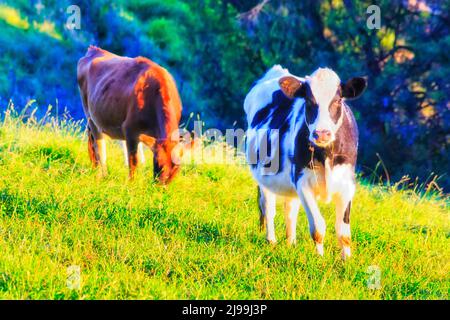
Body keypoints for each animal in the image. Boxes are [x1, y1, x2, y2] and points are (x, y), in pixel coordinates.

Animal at [77, 46, 181, 184]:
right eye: (159, 165)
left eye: (175, 170)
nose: (159, 187)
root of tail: (94, 49)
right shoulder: (130, 130)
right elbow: (134, 161)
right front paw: (132, 183)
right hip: (91, 117)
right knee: (99, 147)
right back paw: (102, 175)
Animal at [244, 65, 368, 260]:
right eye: (309, 101)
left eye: (337, 101)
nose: (322, 133)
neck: (326, 154)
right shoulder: (302, 181)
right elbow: (318, 227)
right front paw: (320, 259)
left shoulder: (347, 184)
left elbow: (343, 232)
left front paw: (346, 260)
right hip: (264, 177)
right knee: (268, 208)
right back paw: (271, 241)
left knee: (290, 210)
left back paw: (291, 244)